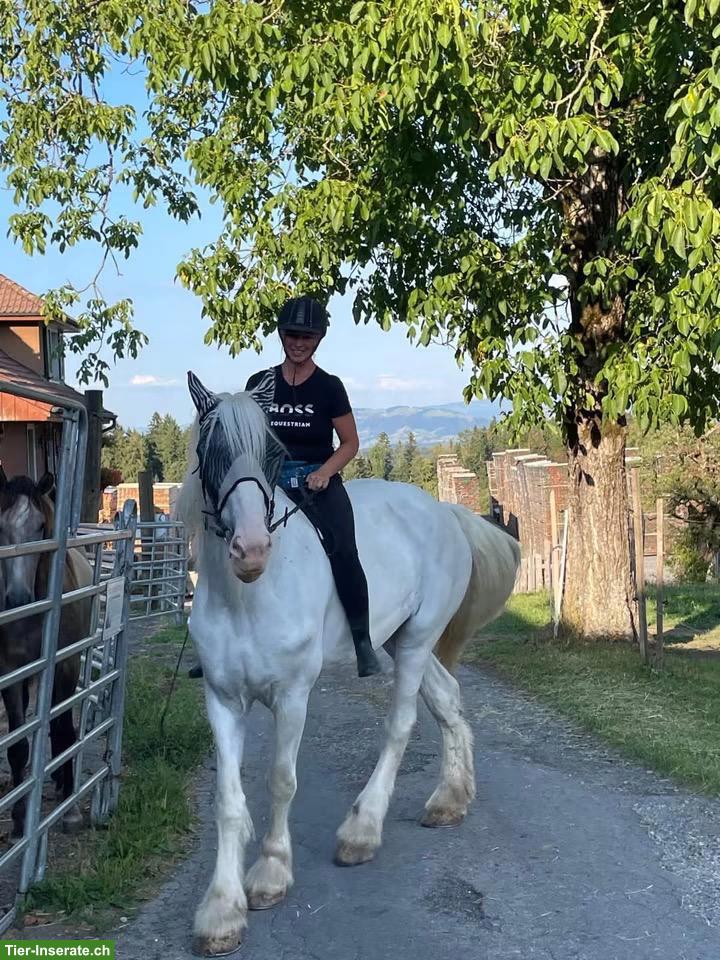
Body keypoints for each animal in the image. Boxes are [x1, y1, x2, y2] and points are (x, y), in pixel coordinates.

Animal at [0, 472, 93, 837]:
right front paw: (18, 820)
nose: (17, 597)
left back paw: (62, 784)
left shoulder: (65, 666)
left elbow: (65, 730)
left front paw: (71, 811)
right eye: (0, 525)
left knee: (60, 723)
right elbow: (17, 747)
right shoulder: (12, 673)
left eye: (41, 526)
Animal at [177, 372, 520, 957]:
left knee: (402, 724)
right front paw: (221, 911)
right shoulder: (221, 699)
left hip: (416, 642)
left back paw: (362, 831)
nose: (252, 550)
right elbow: (228, 797)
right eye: (210, 451)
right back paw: (450, 800)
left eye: (273, 452)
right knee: (448, 699)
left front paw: (271, 875)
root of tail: (445, 513)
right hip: (402, 639)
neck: (247, 598)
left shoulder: (292, 695)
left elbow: (281, 781)